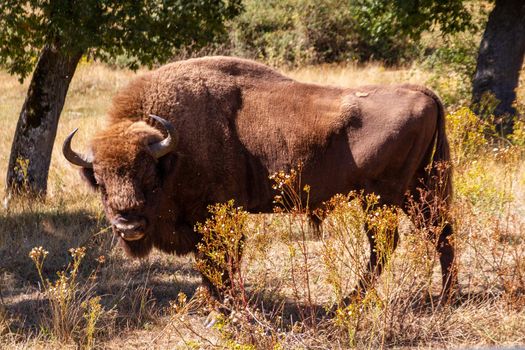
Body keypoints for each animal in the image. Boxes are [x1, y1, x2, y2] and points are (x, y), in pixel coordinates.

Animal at [62, 56, 454, 298]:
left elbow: (220, 261)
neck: (175, 148)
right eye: (99, 180)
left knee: (388, 243)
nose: (128, 224)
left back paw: (348, 301)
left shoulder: (215, 217)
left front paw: (224, 305)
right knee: (441, 232)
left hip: (384, 197)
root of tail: (422, 91)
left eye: (148, 173)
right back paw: (444, 296)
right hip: (421, 189)